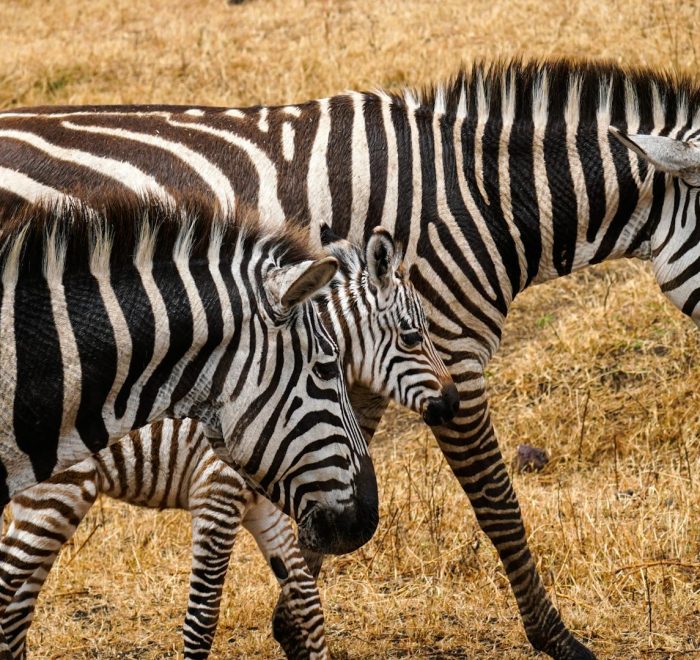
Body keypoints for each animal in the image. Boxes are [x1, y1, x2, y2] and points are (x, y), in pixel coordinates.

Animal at [1, 226, 460, 656]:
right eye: (412, 337)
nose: (451, 402)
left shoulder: (261, 505)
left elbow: (307, 605)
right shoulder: (216, 490)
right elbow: (202, 619)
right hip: (58, 495)